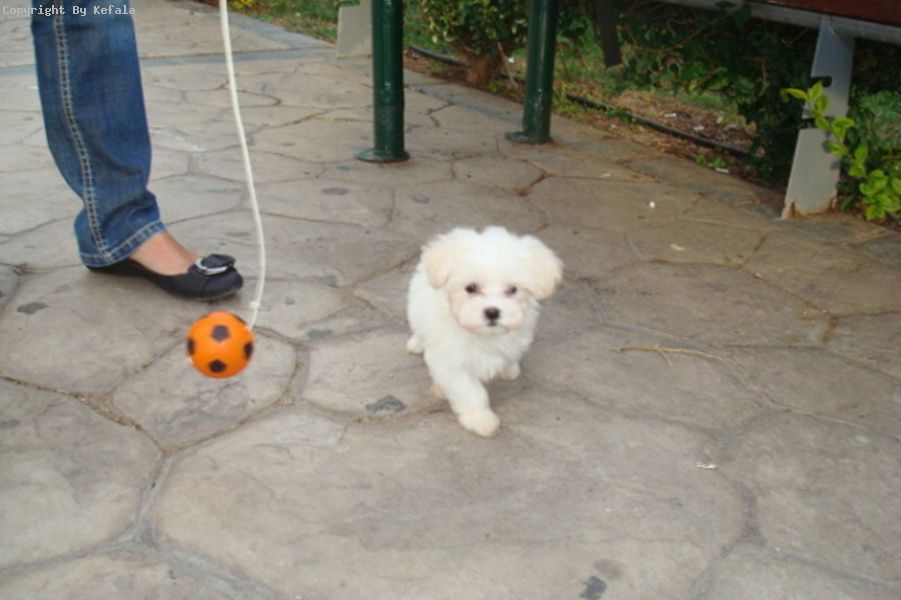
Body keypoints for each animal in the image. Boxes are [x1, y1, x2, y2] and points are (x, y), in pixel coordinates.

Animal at [406, 226, 563, 436]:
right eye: (471, 288)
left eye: (512, 289)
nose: (492, 312)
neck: (484, 335)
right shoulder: (452, 362)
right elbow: (469, 390)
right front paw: (480, 419)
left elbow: (509, 355)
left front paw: (509, 368)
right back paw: (417, 345)